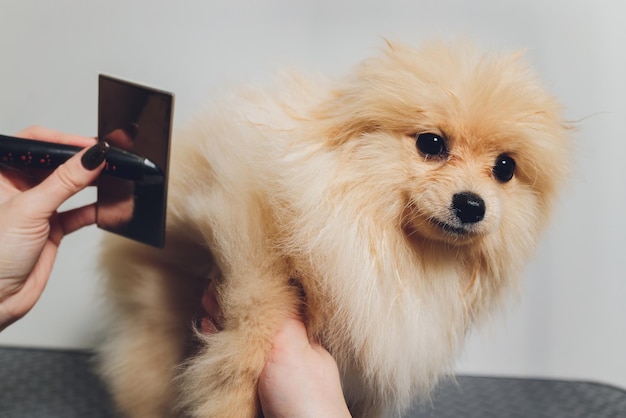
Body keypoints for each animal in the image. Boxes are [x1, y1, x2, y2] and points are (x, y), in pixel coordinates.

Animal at [98, 40, 572, 418]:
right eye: (431, 144)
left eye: (505, 168)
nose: (473, 204)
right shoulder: (250, 229)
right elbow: (255, 323)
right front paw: (231, 402)